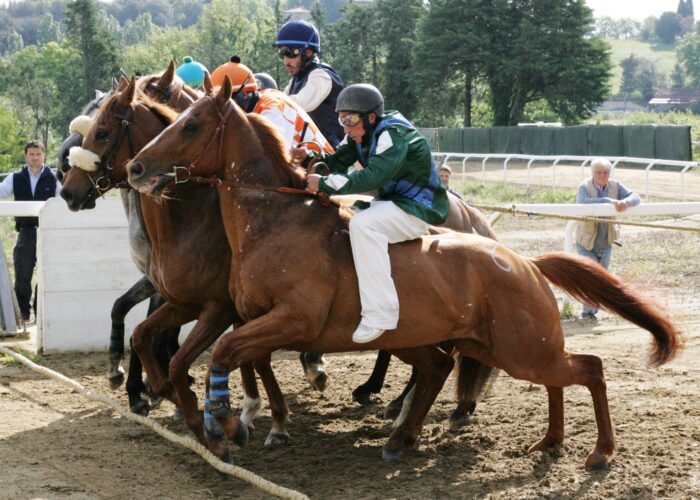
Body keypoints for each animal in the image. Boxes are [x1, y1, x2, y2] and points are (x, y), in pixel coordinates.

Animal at [127, 75, 684, 468]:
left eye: (190, 125)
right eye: (172, 120)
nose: (136, 168)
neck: (274, 220)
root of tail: (523, 261)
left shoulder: (287, 320)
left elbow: (222, 352)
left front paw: (223, 421)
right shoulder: (245, 316)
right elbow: (217, 356)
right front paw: (212, 417)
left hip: (521, 348)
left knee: (588, 368)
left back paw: (599, 452)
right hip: (479, 344)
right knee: (463, 369)